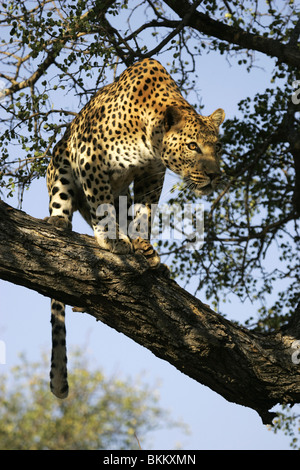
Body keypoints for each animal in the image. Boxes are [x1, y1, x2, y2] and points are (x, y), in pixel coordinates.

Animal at [45, 57, 225, 398]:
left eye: (217, 148)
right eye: (193, 146)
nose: (214, 176)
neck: (149, 139)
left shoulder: (150, 176)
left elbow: (145, 214)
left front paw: (142, 246)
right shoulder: (89, 156)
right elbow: (100, 200)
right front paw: (113, 240)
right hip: (60, 161)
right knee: (65, 202)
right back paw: (59, 223)